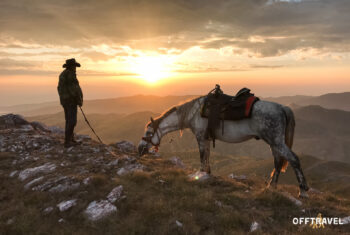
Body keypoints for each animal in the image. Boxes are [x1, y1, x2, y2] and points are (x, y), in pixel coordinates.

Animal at [138, 96, 310, 197]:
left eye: (148, 131)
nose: (139, 149)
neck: (193, 113)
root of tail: (282, 108)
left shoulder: (200, 137)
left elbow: (202, 156)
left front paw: (201, 175)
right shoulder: (206, 139)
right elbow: (207, 156)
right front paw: (207, 173)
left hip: (276, 141)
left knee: (293, 159)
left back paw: (302, 191)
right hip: (274, 142)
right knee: (278, 161)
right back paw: (271, 186)